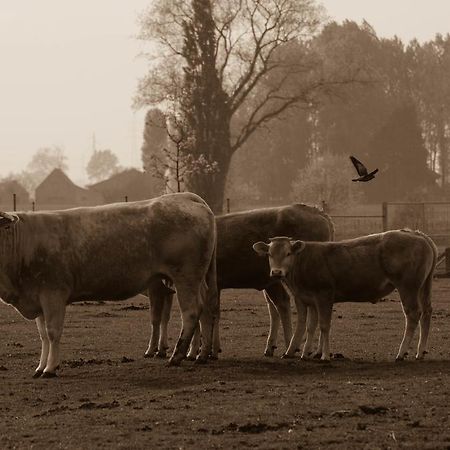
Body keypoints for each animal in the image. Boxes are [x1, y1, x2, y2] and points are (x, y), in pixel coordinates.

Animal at [0, 192, 218, 378]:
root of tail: (186, 197)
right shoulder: (37, 297)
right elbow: (43, 335)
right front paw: (40, 367)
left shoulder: (53, 293)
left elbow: (53, 332)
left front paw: (50, 368)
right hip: (198, 279)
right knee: (206, 308)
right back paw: (201, 354)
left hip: (186, 277)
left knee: (191, 312)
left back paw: (177, 356)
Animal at [144, 204, 334, 358]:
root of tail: (316, 211)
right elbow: (208, 314)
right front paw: (208, 349)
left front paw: (191, 350)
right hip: (274, 282)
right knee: (283, 307)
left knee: (292, 308)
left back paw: (293, 347)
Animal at [255, 230, 438, 360]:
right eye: (269, 254)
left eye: (288, 253)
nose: (276, 272)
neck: (303, 262)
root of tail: (415, 233)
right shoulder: (305, 298)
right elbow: (309, 326)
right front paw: (302, 353)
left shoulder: (324, 295)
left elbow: (324, 325)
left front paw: (325, 355)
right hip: (423, 286)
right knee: (426, 312)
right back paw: (420, 352)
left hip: (408, 287)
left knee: (413, 314)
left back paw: (401, 353)